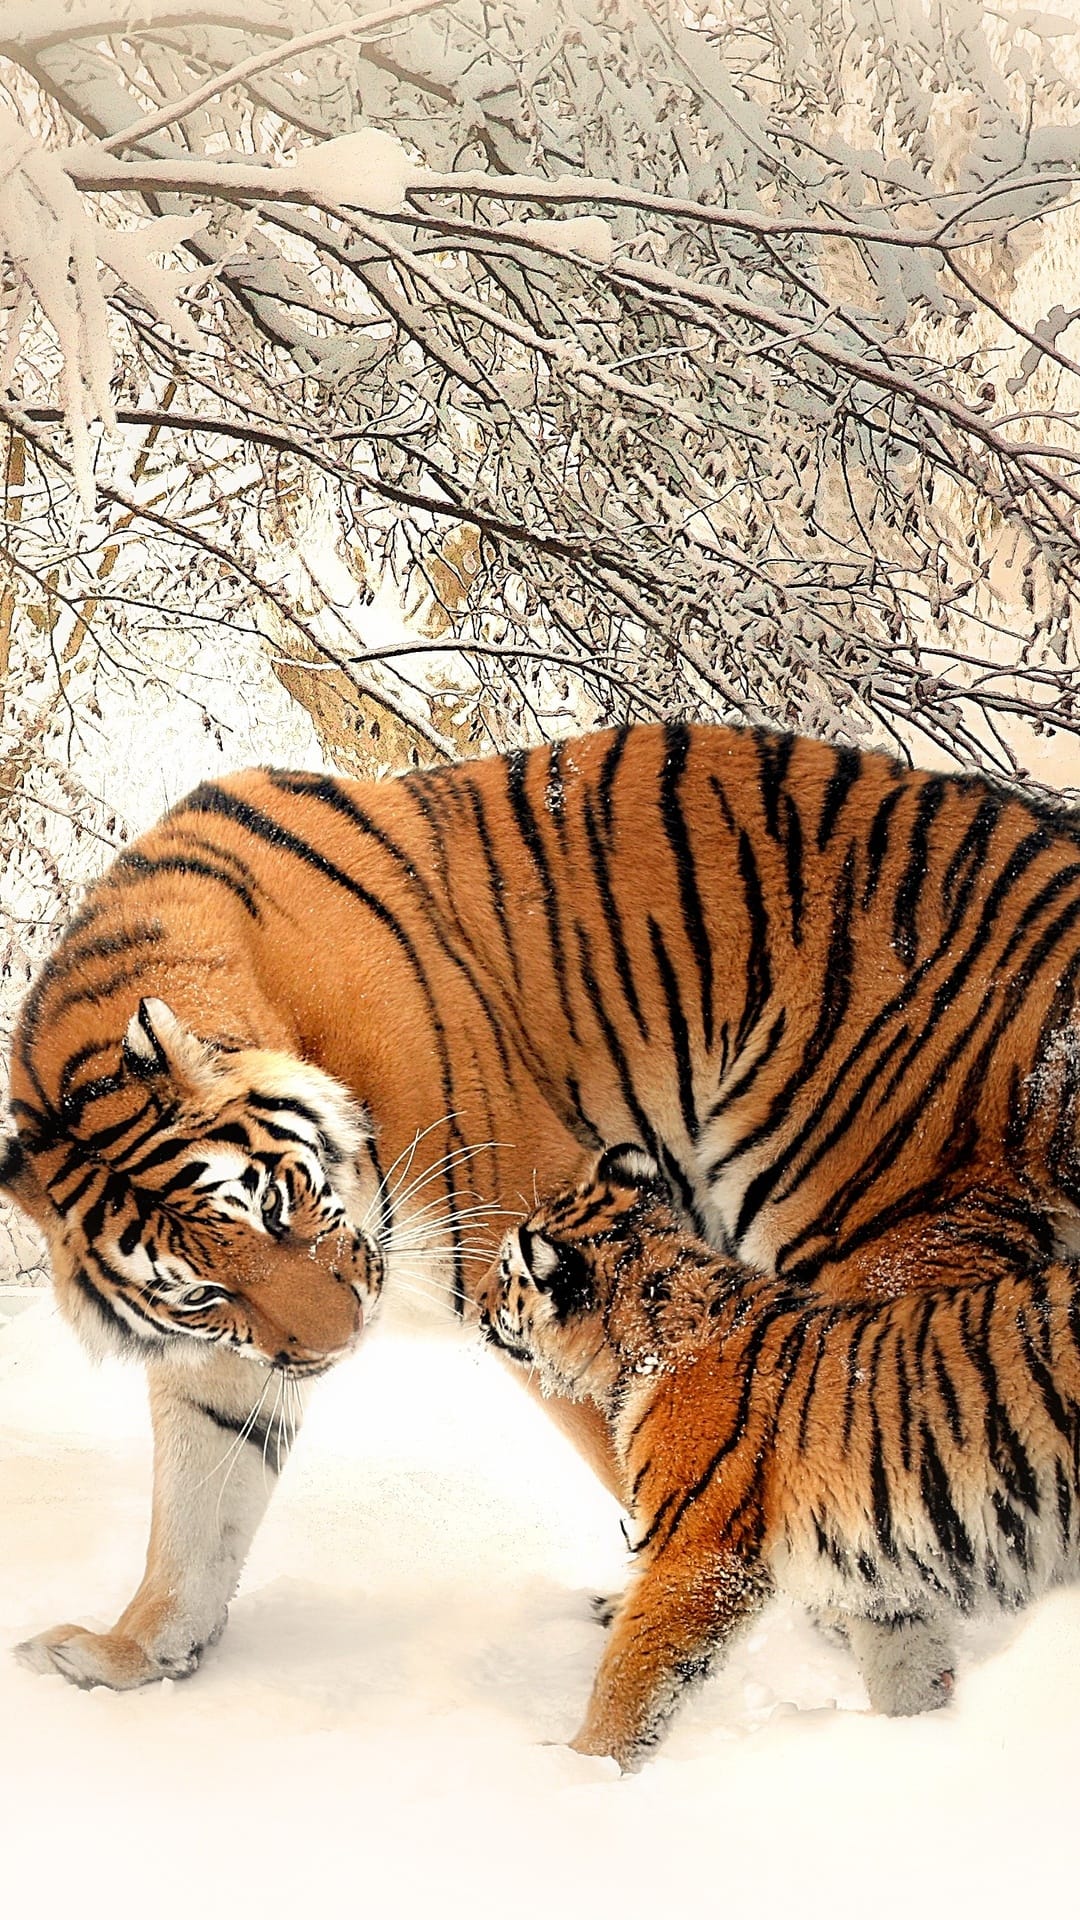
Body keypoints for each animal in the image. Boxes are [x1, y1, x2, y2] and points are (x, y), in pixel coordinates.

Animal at [4, 721, 1080, 1691]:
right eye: (200, 1295)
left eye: (275, 1207)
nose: (341, 1343)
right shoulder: (230, 1355)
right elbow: (198, 1500)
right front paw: (133, 1651)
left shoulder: (533, 1241)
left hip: (886, 1219)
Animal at [479, 1142, 1080, 1769]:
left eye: (507, 1273)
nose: (476, 1304)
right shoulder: (880, 1582)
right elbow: (905, 1670)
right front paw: (915, 1737)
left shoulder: (695, 1557)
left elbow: (628, 1675)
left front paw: (577, 1764)